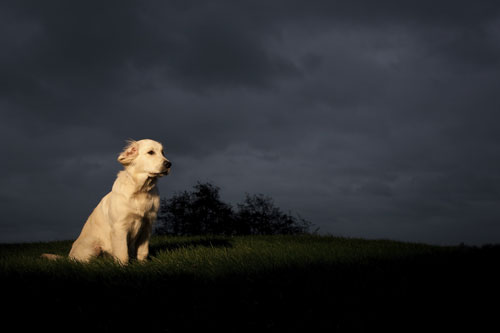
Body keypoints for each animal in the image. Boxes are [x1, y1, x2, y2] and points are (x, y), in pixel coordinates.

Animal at [41, 139, 170, 264]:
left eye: (163, 152)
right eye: (151, 152)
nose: (169, 164)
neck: (141, 190)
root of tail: (68, 257)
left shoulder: (147, 225)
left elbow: (143, 252)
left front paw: (143, 264)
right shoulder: (120, 227)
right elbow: (123, 254)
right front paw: (124, 267)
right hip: (94, 248)